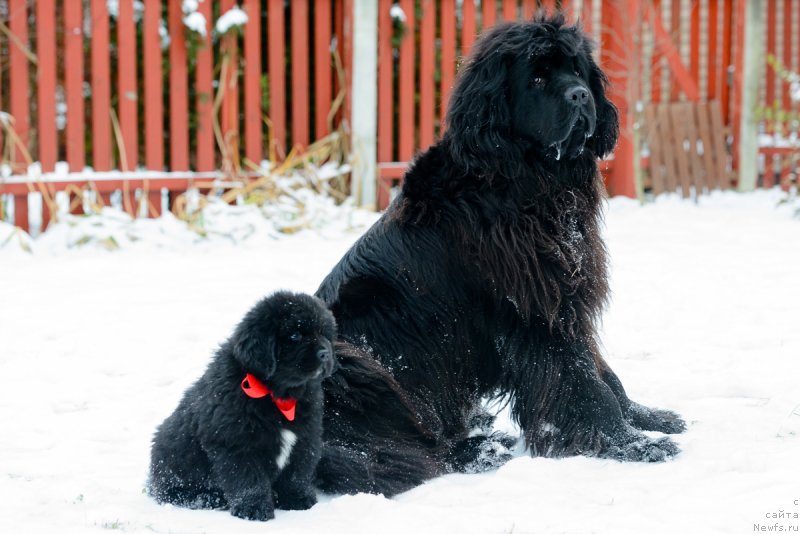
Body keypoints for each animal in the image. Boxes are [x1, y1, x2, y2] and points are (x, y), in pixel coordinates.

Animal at [148, 294, 336, 524]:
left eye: (324, 334)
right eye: (295, 335)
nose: (325, 354)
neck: (276, 394)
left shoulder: (305, 437)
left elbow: (297, 473)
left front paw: (298, 500)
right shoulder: (237, 442)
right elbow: (249, 479)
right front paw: (254, 509)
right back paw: (208, 498)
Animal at [316, 13, 684, 498]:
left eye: (577, 71)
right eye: (538, 78)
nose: (581, 96)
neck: (526, 181)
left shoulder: (566, 297)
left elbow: (604, 373)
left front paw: (649, 418)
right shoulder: (537, 314)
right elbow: (584, 382)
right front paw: (630, 443)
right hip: (353, 363)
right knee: (402, 454)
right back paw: (480, 449)